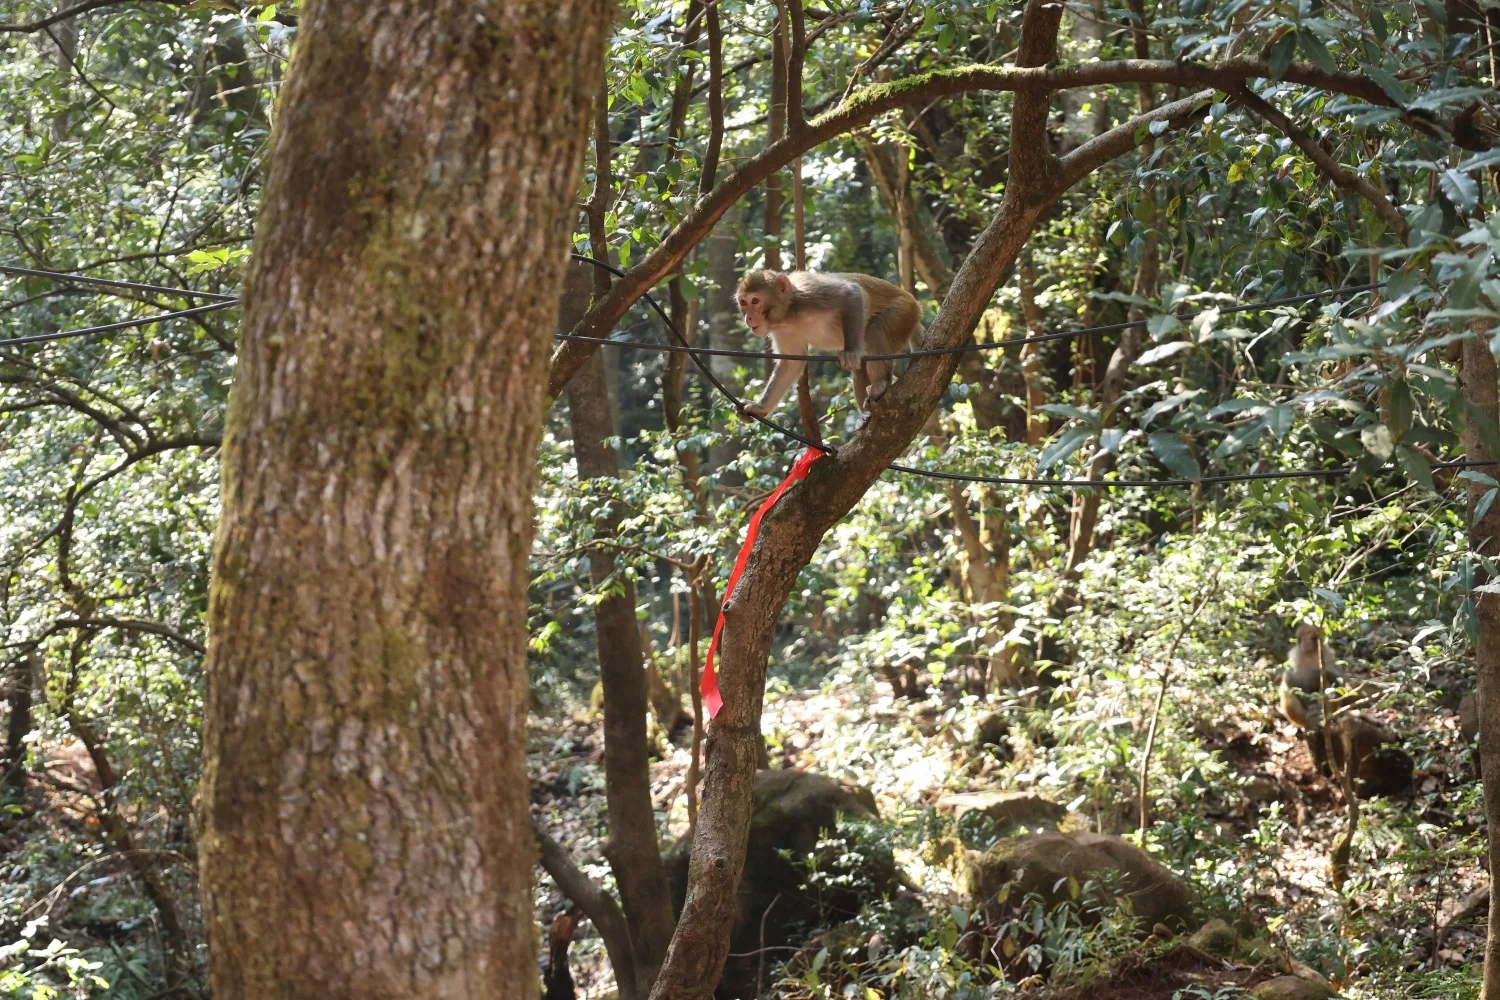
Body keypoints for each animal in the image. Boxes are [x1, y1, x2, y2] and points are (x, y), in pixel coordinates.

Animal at [735, 269, 921, 420]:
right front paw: (760, 407)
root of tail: (915, 306)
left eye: (755, 301)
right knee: (861, 366)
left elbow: (851, 293)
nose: (748, 318)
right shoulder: (783, 330)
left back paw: (881, 382)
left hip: (903, 312)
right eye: (743, 303)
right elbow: (790, 364)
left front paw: (851, 352)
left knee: (876, 330)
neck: (789, 313)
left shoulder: (810, 294)